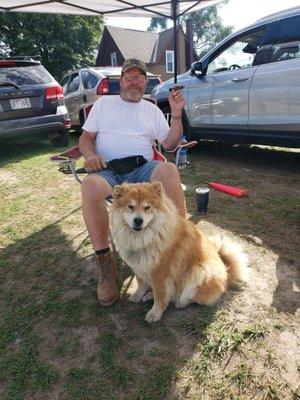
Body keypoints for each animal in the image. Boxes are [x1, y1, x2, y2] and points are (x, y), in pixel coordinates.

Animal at [110, 181, 248, 322]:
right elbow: (141, 284)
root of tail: (226, 271)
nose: (138, 220)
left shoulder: (160, 272)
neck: (145, 238)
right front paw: (137, 296)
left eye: (147, 207)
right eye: (130, 207)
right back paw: (150, 295)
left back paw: (179, 302)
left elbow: (160, 294)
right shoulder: (139, 266)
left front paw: (155, 313)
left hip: (201, 271)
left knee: (192, 298)